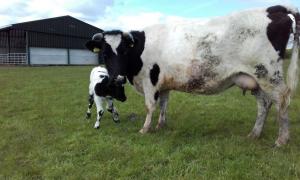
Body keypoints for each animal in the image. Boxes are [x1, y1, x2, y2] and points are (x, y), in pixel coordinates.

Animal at [85, 5, 300, 146]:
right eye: (105, 54)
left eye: (123, 51)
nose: (118, 78)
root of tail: (273, 8)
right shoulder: (164, 83)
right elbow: (163, 104)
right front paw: (161, 125)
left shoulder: (150, 80)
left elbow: (150, 106)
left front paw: (145, 129)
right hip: (254, 78)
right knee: (264, 104)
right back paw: (254, 134)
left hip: (269, 74)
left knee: (282, 100)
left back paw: (282, 140)